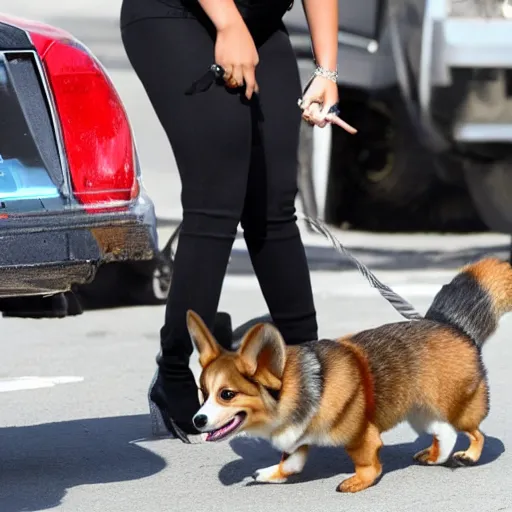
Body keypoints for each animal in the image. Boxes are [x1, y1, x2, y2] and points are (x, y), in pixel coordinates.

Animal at [186, 258, 512, 494]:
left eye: (227, 394)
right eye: (203, 393)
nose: (196, 421)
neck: (299, 386)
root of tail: (451, 324)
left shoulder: (360, 437)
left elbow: (368, 463)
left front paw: (358, 481)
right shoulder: (298, 438)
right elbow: (290, 464)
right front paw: (270, 474)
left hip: (455, 406)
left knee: (474, 432)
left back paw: (468, 456)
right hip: (421, 412)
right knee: (445, 433)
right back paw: (434, 457)